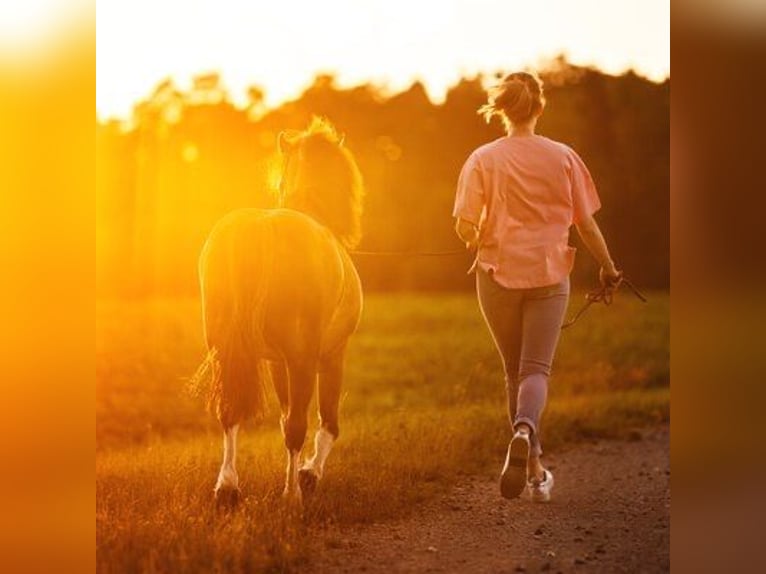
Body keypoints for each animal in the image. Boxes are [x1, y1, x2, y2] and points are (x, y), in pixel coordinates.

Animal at [198, 118, 366, 508]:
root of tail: (258, 228)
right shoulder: (331, 354)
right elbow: (327, 423)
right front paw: (309, 474)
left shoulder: (275, 362)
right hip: (303, 359)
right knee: (297, 427)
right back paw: (291, 494)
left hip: (226, 352)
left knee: (230, 413)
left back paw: (227, 487)